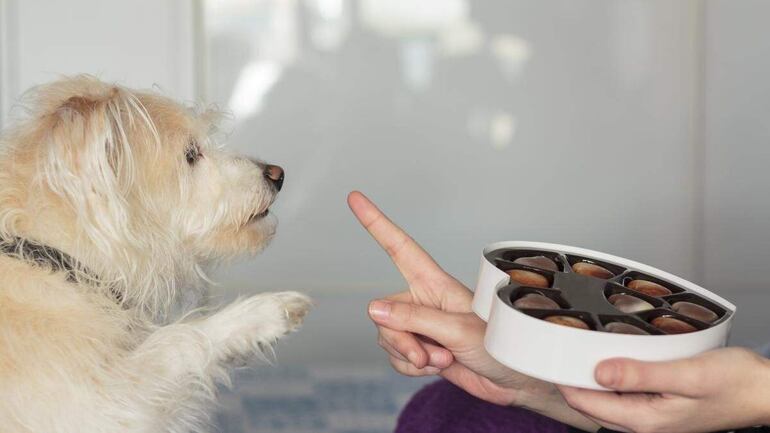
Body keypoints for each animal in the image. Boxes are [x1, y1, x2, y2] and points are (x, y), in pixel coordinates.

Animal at [0, 76, 312, 430]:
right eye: (191, 155)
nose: (278, 174)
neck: (54, 257)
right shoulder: (108, 406)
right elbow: (178, 339)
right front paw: (263, 313)